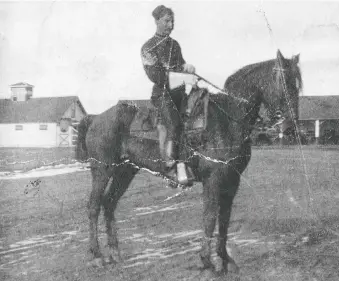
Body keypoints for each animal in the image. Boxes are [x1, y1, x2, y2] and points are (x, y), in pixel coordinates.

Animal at [76, 49, 302, 274]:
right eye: (284, 81)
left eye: (298, 84)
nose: (291, 127)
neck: (228, 119)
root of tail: (95, 118)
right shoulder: (213, 180)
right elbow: (210, 217)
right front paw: (206, 262)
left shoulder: (232, 181)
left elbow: (225, 219)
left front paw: (225, 259)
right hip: (102, 170)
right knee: (94, 206)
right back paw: (97, 255)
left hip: (125, 171)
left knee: (109, 203)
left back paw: (115, 254)